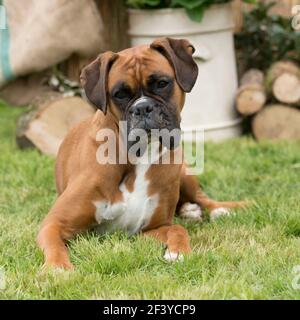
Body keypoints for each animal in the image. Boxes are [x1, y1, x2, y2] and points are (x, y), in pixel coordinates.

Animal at [37, 37, 244, 268]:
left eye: (162, 83)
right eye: (119, 94)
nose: (143, 108)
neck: (137, 157)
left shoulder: (149, 229)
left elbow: (177, 228)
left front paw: (178, 251)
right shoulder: (54, 224)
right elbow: (55, 245)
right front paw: (58, 268)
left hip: (182, 172)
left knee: (202, 198)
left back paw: (216, 210)